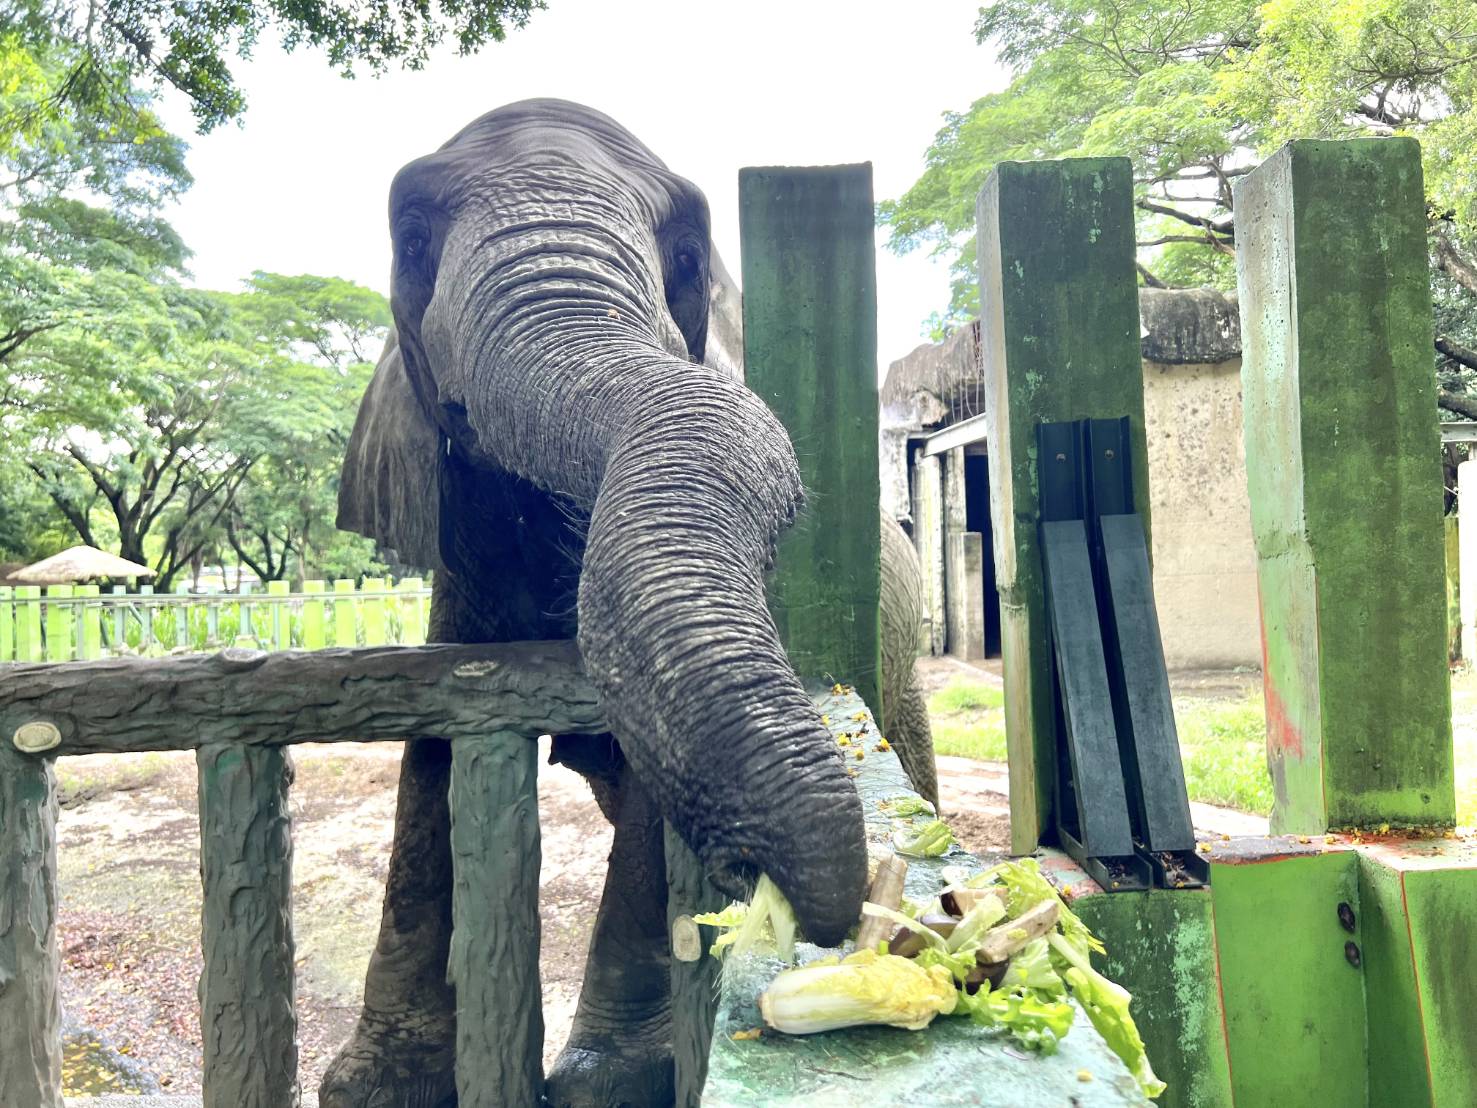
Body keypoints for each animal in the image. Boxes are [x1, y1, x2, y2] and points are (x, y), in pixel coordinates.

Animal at [330, 99, 939, 1105]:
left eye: (687, 254)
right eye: (411, 239)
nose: (830, 913)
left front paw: (609, 1082)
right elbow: (431, 750)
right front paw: (385, 1085)